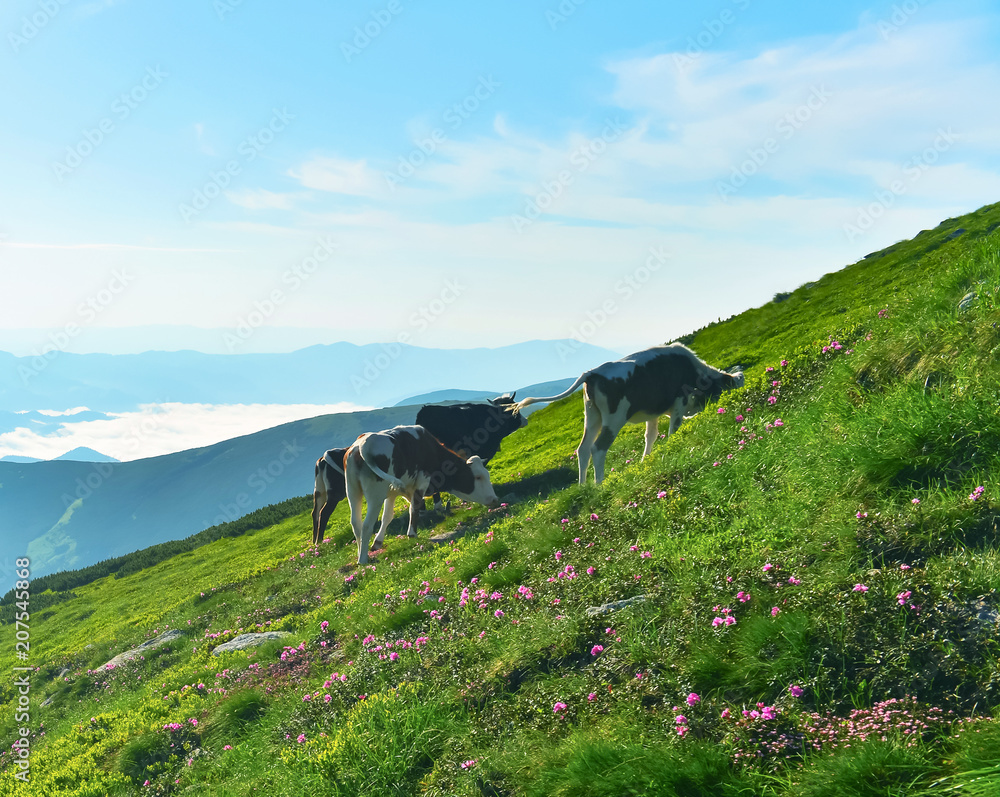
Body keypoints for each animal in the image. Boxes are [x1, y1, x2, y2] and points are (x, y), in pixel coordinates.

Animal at [344, 426, 500, 564]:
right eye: (478, 477)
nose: (495, 499)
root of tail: (362, 444)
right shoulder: (423, 478)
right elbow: (415, 506)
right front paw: (412, 534)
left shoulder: (393, 492)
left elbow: (387, 516)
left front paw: (378, 542)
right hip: (375, 495)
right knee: (366, 525)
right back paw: (363, 560)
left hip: (353, 491)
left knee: (356, 523)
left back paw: (361, 552)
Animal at [516, 342, 744, 486]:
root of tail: (592, 373)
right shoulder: (679, 402)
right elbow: (673, 430)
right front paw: (672, 448)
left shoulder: (653, 412)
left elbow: (650, 436)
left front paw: (646, 460)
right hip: (614, 418)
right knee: (598, 448)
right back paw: (600, 484)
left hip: (592, 417)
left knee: (583, 449)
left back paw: (583, 486)